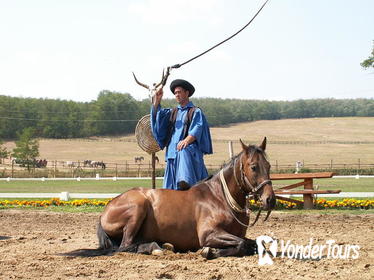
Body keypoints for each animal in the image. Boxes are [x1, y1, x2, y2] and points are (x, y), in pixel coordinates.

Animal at [62, 137, 276, 258]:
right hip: (138, 207)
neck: (219, 198)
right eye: (254, 167)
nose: (270, 200)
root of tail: (108, 207)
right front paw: (209, 251)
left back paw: (163, 244)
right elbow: (239, 244)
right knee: (126, 246)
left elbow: (254, 244)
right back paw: (156, 247)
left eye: (269, 165)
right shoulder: (208, 234)